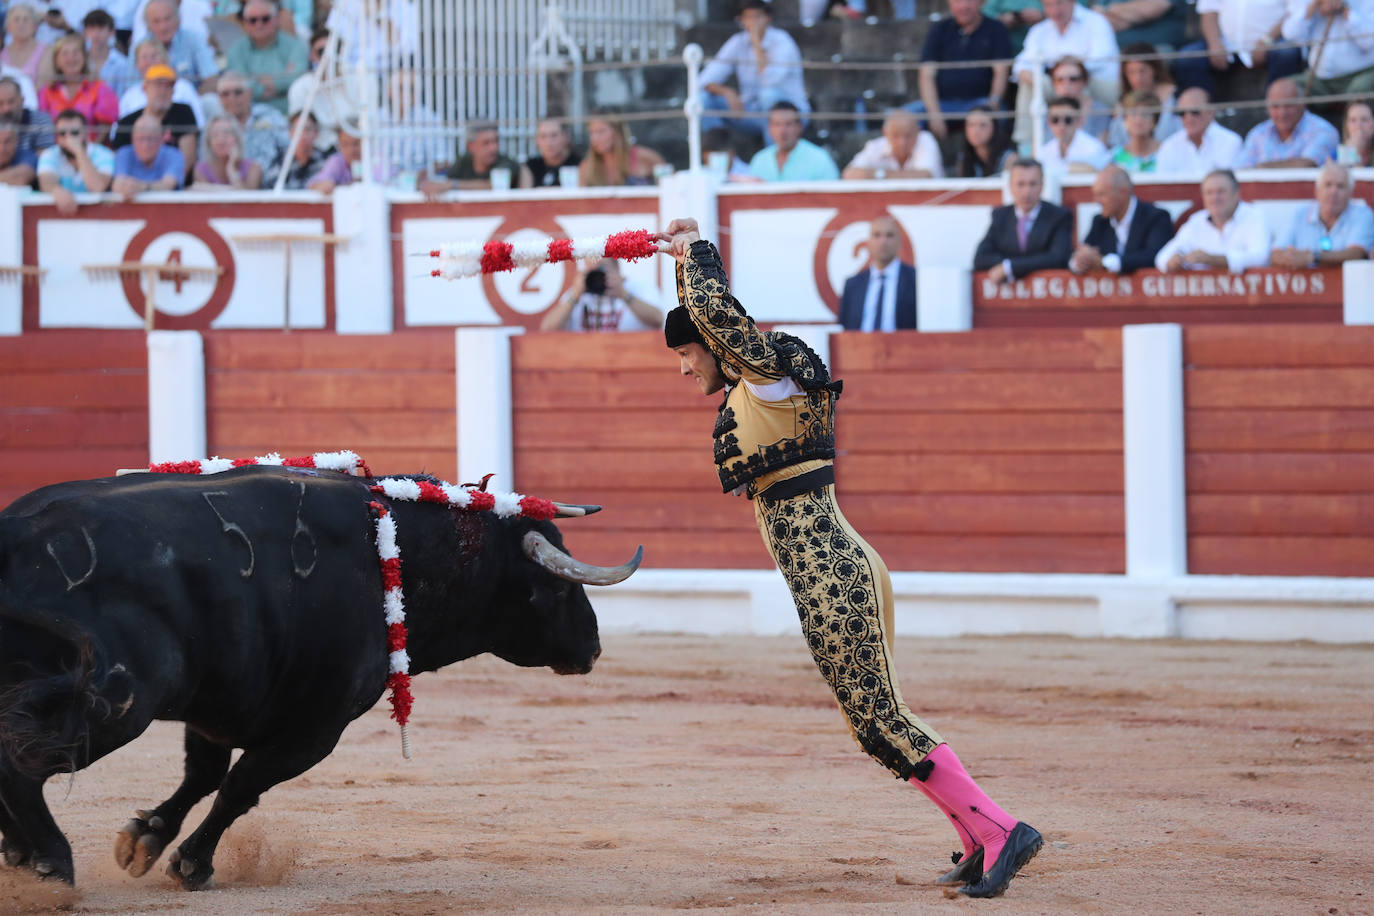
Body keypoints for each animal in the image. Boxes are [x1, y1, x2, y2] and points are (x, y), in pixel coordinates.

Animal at [0, 466, 637, 889]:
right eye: (556, 586)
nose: (593, 647)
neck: (398, 552)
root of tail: (17, 538)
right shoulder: (316, 728)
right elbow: (240, 786)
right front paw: (191, 863)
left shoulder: (218, 707)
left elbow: (203, 776)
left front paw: (146, 839)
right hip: (117, 702)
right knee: (22, 764)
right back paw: (49, 862)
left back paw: (22, 854)